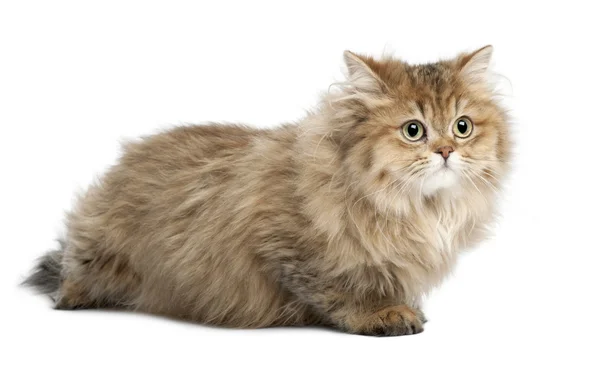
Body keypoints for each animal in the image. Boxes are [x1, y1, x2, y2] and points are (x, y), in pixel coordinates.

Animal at [24, 46, 510, 336]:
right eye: (413, 130)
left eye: (462, 127)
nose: (446, 151)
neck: (416, 208)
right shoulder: (288, 244)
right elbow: (341, 288)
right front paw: (382, 313)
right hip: (95, 251)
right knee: (70, 279)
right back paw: (71, 296)